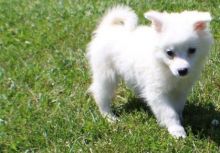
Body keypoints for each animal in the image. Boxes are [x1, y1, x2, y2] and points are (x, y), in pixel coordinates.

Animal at [87, 5, 212, 138]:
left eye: (192, 50)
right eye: (169, 53)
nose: (182, 71)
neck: (165, 67)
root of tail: (108, 27)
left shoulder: (180, 90)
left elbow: (177, 108)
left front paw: (180, 121)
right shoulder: (156, 93)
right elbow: (169, 112)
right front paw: (177, 130)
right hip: (106, 74)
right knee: (101, 94)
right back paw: (109, 117)